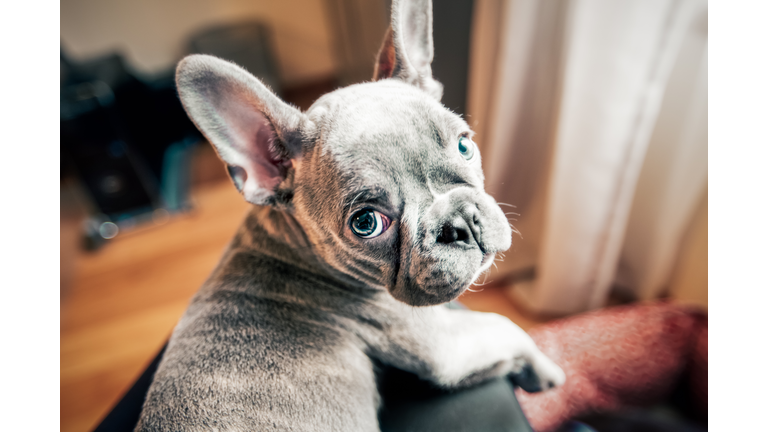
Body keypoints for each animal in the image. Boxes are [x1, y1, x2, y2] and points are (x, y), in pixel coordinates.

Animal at [135, 0, 560, 432]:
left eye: (464, 145)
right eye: (366, 223)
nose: (463, 222)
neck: (292, 249)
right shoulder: (445, 346)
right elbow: (507, 326)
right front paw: (545, 369)